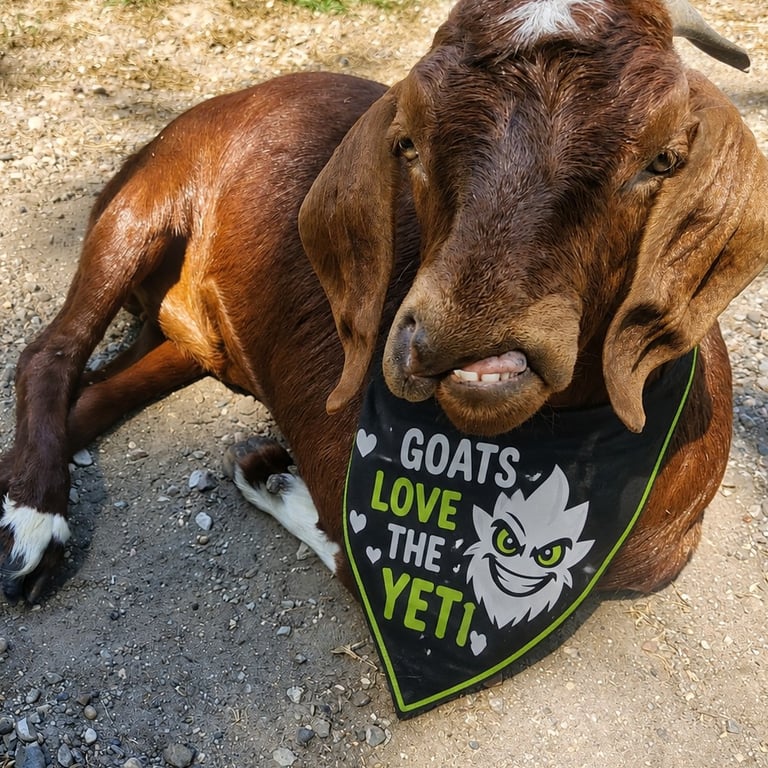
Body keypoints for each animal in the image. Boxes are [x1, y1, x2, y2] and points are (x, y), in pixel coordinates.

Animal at [1, 0, 766, 611]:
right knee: (49, 353)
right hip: (146, 198)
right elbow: (356, 553)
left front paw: (268, 472)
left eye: (663, 158)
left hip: (194, 338)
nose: (462, 338)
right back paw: (35, 525)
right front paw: (269, 473)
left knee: (99, 391)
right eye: (409, 144)